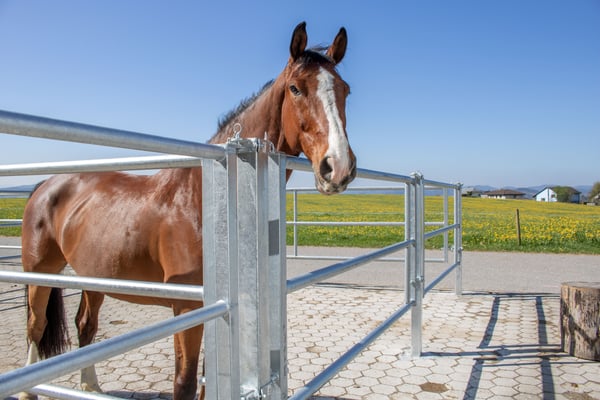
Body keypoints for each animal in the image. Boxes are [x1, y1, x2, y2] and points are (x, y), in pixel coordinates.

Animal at [18, 21, 356, 400]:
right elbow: (186, 382)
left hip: (93, 276)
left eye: (345, 90)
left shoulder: (219, 309)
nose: (338, 167)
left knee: (85, 325)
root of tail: (45, 185)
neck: (202, 202)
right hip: (39, 272)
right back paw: (28, 390)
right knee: (36, 326)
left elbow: (208, 379)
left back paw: (89, 384)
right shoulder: (188, 308)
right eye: (296, 88)